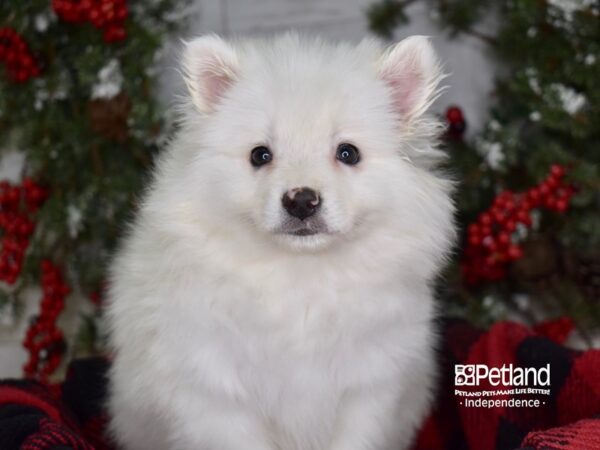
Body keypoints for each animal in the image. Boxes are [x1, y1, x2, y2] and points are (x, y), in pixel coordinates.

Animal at [106, 32, 454, 450]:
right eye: (260, 155)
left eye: (348, 153)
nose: (301, 200)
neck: (300, 272)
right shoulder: (215, 390)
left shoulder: (369, 386)